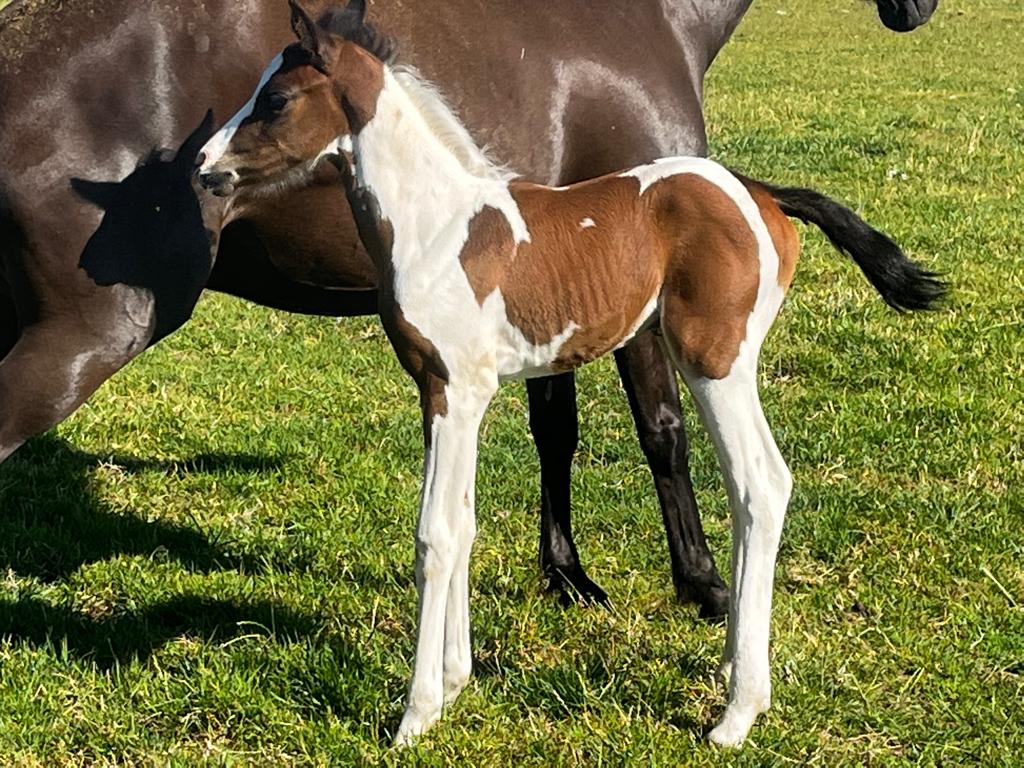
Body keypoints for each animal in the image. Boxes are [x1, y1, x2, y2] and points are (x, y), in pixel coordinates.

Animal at [0, 0, 938, 616]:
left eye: (276, 99)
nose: (917, 10)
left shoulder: (545, 302)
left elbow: (556, 430)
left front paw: (568, 576)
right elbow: (662, 431)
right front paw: (703, 583)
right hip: (91, 333)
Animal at [198, 1, 946, 746]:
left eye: (276, 98)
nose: (204, 168)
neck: (437, 225)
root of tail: (761, 193)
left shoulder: (454, 388)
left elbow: (435, 534)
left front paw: (416, 714)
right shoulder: (448, 393)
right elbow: (464, 522)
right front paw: (456, 683)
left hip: (715, 361)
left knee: (761, 485)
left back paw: (736, 713)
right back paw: (733, 664)